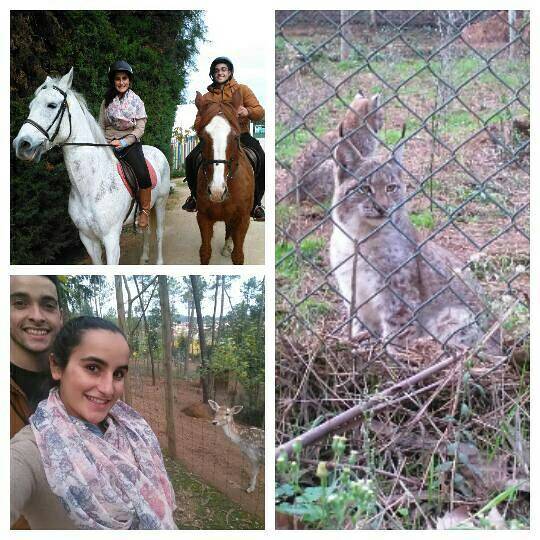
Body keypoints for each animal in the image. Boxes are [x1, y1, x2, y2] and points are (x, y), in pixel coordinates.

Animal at [12, 66, 169, 264]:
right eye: (31, 107)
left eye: (52, 105)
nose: (21, 145)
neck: (89, 185)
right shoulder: (87, 238)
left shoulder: (111, 239)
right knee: (146, 230)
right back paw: (143, 258)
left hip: (161, 202)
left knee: (159, 233)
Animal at [194, 89, 255, 264]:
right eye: (202, 138)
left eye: (235, 137)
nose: (217, 191)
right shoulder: (203, 218)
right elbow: (205, 252)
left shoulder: (243, 219)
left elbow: (238, 256)